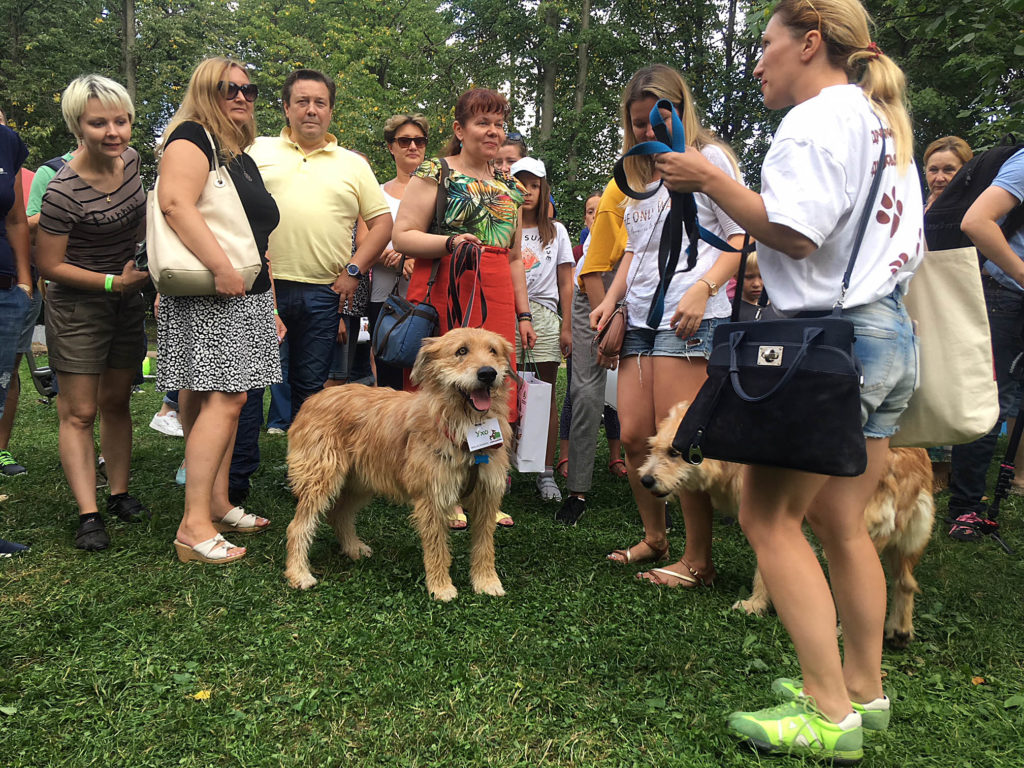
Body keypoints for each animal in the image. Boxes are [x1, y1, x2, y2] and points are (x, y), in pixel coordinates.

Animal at [284, 327, 516, 606]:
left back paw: (352, 547)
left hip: (359, 482)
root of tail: (313, 398)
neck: (466, 428)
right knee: (298, 526)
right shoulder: (432, 498)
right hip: (321, 478)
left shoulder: (486, 496)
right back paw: (299, 573)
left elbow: (484, 545)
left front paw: (486, 581)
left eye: (493, 351)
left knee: (339, 514)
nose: (488, 373)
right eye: (461, 351)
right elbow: (437, 547)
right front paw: (441, 587)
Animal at [638, 403, 937, 651]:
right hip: (907, 541)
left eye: (675, 453)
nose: (645, 480)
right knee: (905, 583)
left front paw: (755, 604)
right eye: (652, 448)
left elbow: (764, 571)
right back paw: (899, 630)